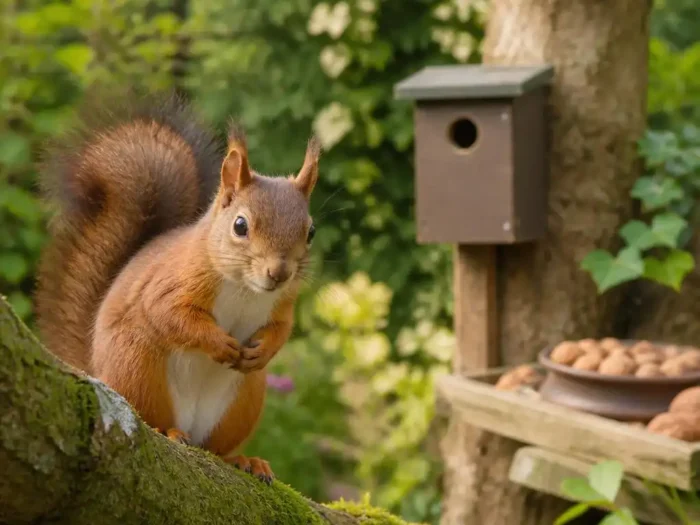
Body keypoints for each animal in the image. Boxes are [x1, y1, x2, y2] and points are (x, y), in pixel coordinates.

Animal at [35, 92, 321, 484]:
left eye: (311, 232)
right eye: (240, 225)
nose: (278, 273)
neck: (246, 289)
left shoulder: (282, 304)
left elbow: (281, 330)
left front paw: (261, 350)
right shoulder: (171, 282)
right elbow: (170, 314)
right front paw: (219, 343)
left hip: (244, 400)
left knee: (216, 447)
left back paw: (243, 460)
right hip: (137, 368)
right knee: (152, 417)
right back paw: (167, 431)